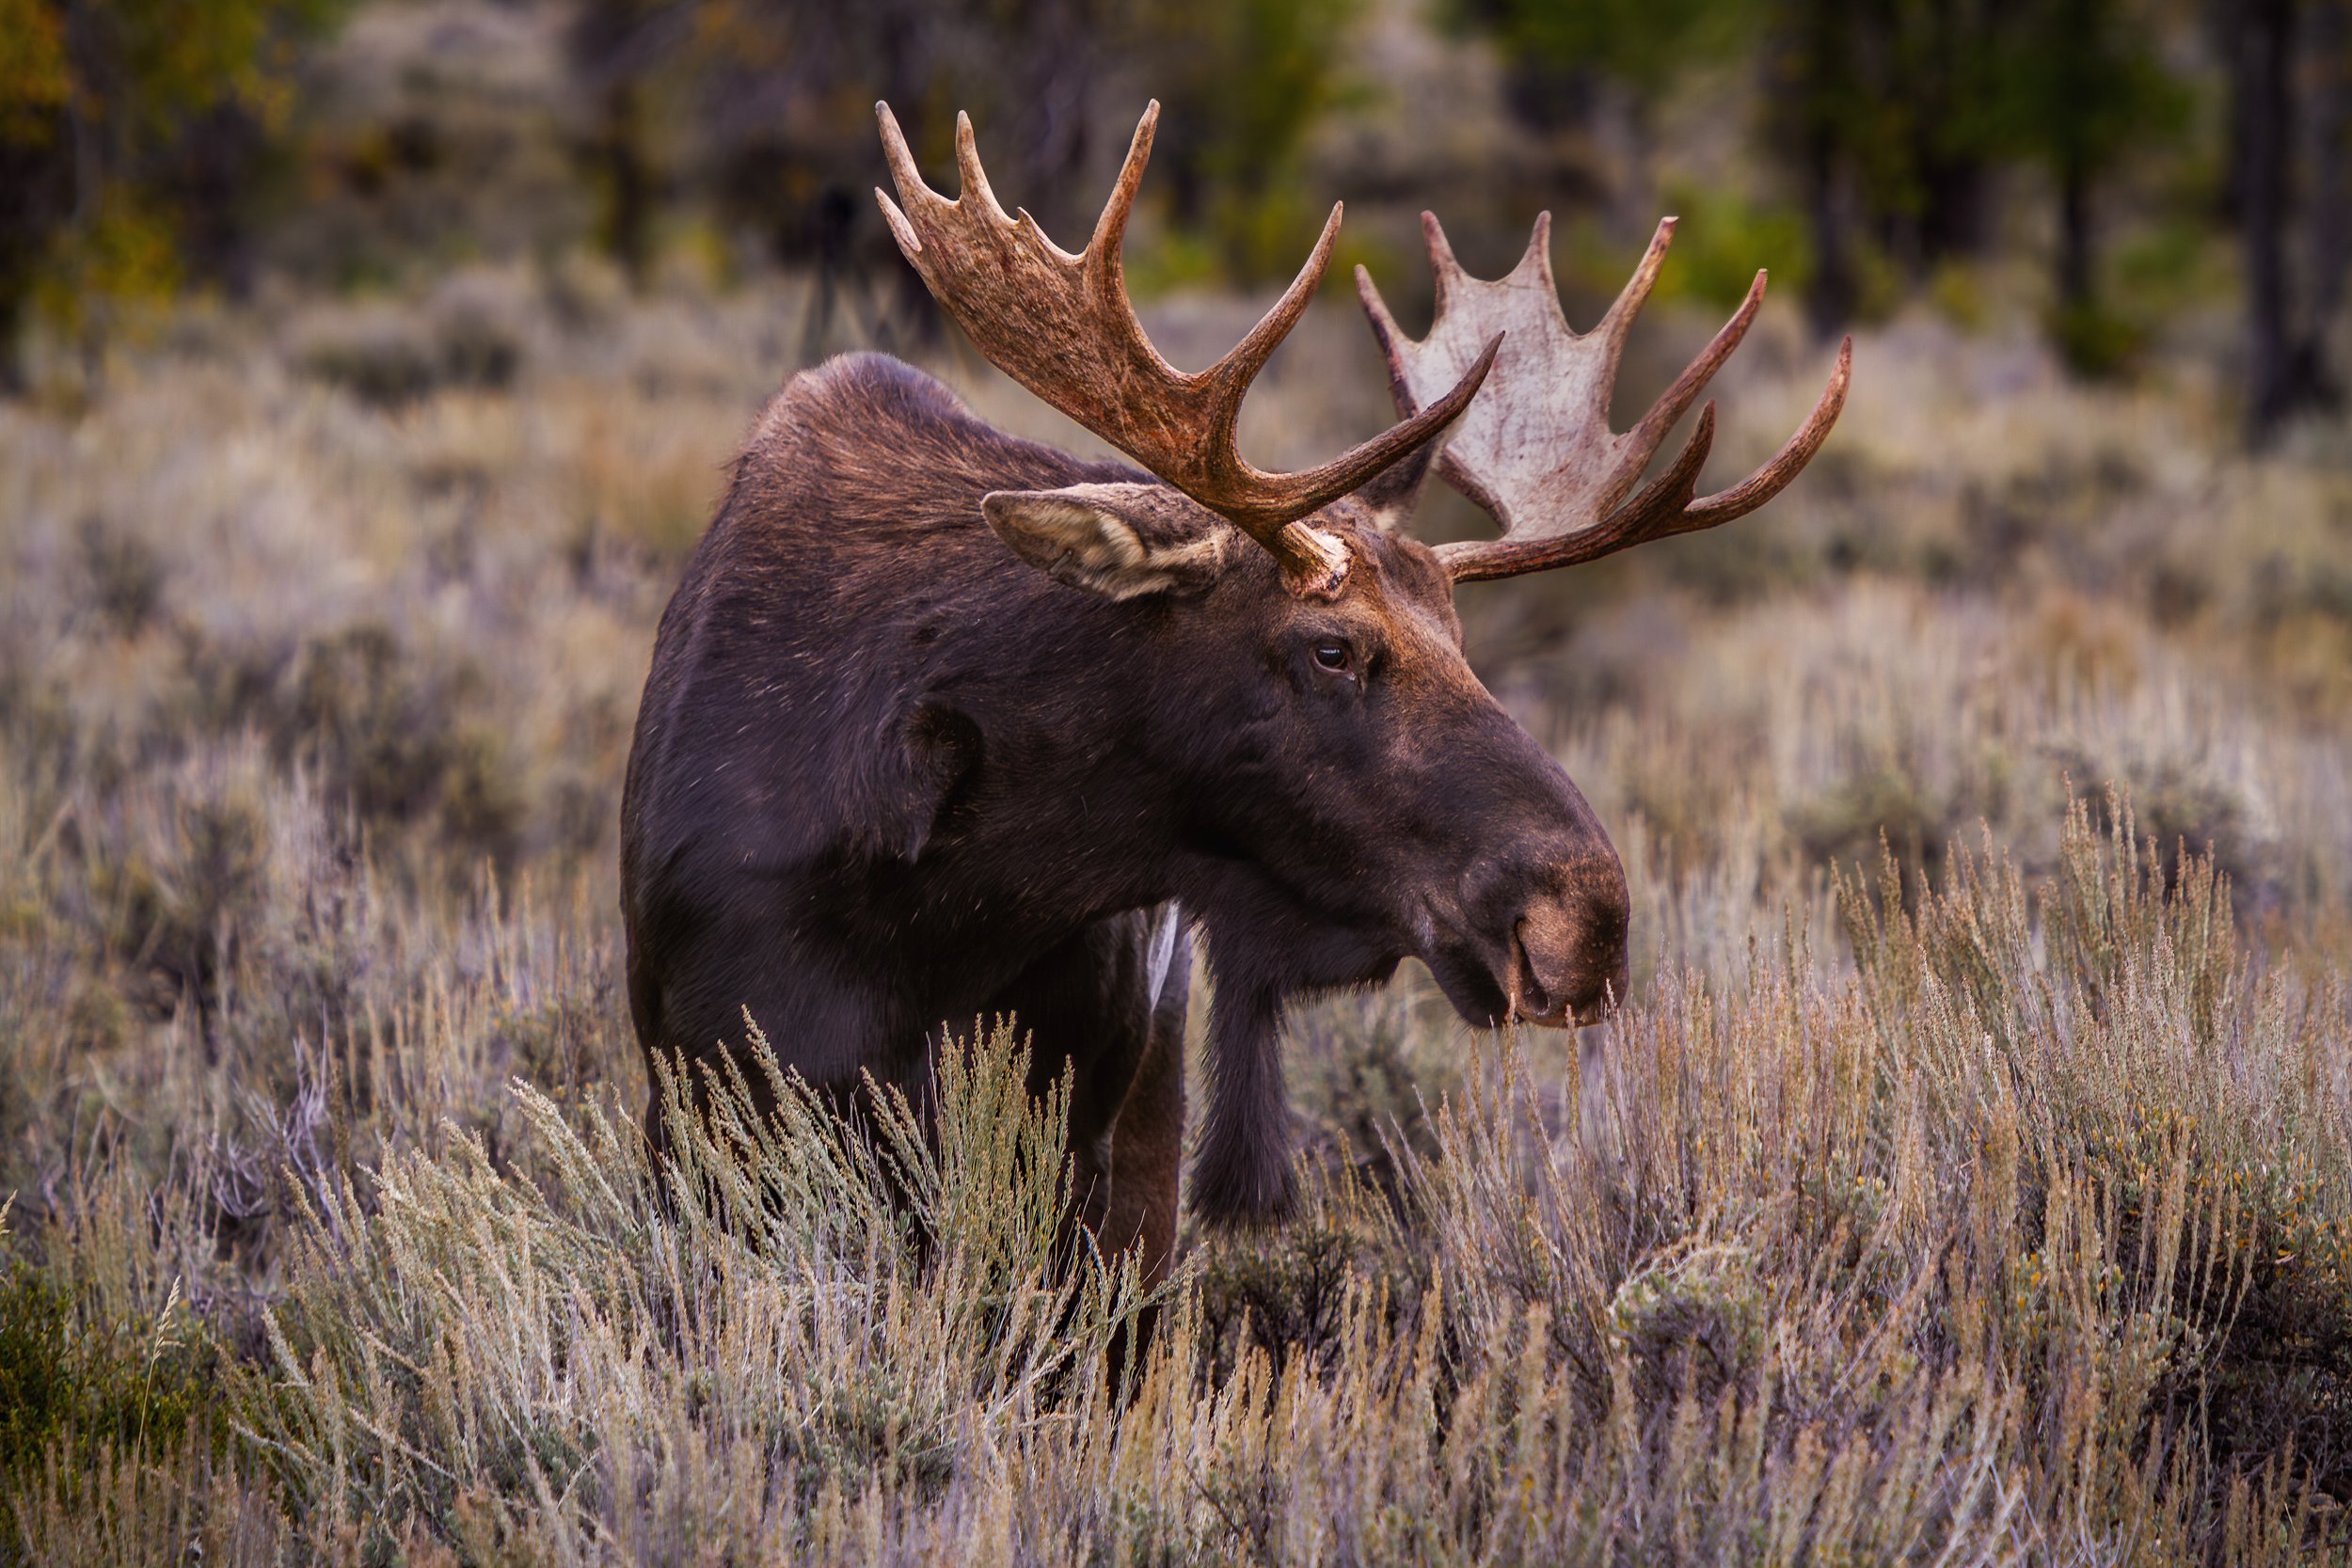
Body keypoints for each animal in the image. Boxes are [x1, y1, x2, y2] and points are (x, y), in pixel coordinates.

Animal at [617, 101, 1849, 1288]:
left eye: (1459, 637)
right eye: (1331, 649)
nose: (1583, 917)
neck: (937, 893)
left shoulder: (1086, 1142)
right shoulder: (704, 1103)